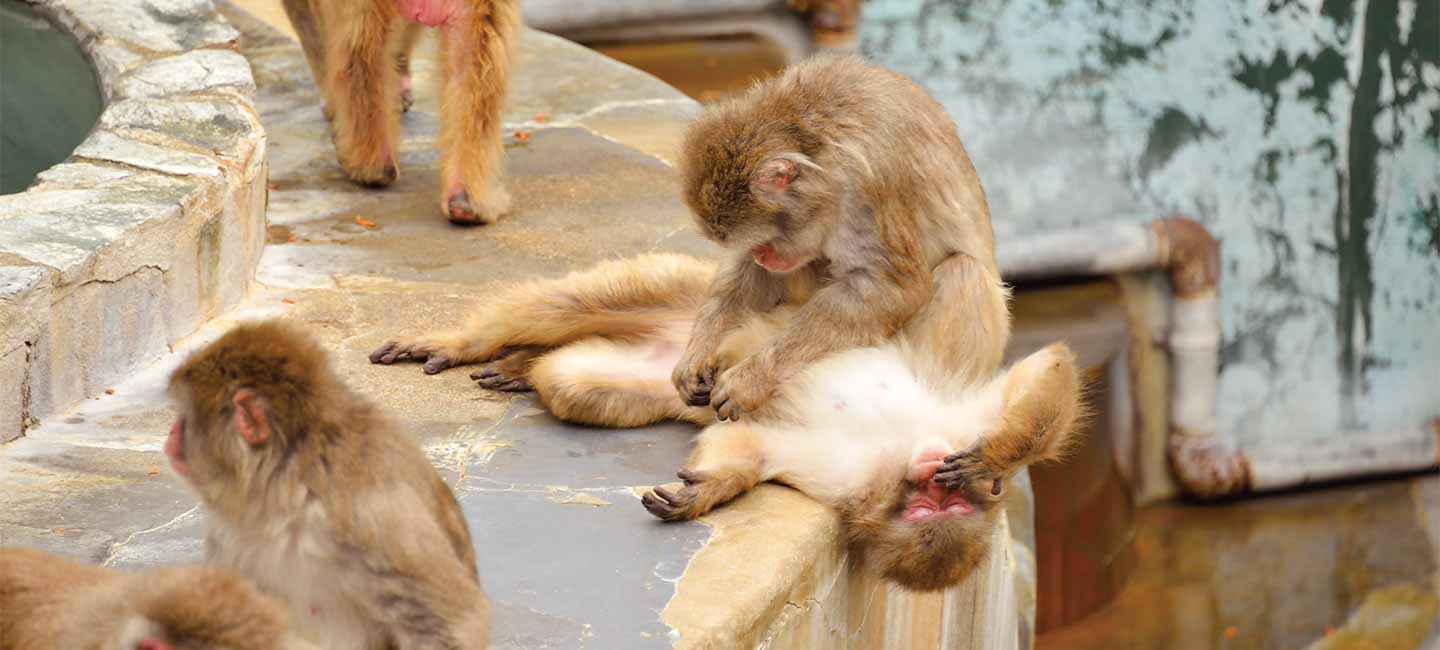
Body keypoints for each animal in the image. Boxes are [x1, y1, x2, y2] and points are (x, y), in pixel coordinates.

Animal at [371, 256, 1082, 593]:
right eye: (937, 499)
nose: (936, 477)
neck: (893, 453)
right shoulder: (949, 417)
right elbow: (1048, 370)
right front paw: (994, 460)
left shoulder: (841, 480)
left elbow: (747, 444)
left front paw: (703, 493)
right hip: (694, 287)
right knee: (570, 302)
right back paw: (472, 340)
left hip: (654, 365)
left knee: (579, 384)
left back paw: (529, 366)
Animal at [668, 55, 1008, 423]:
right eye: (755, 247)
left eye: (765, 245)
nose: (762, 257)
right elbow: (753, 275)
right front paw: (698, 353)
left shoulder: (868, 184)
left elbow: (891, 289)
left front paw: (752, 379)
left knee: (964, 270)